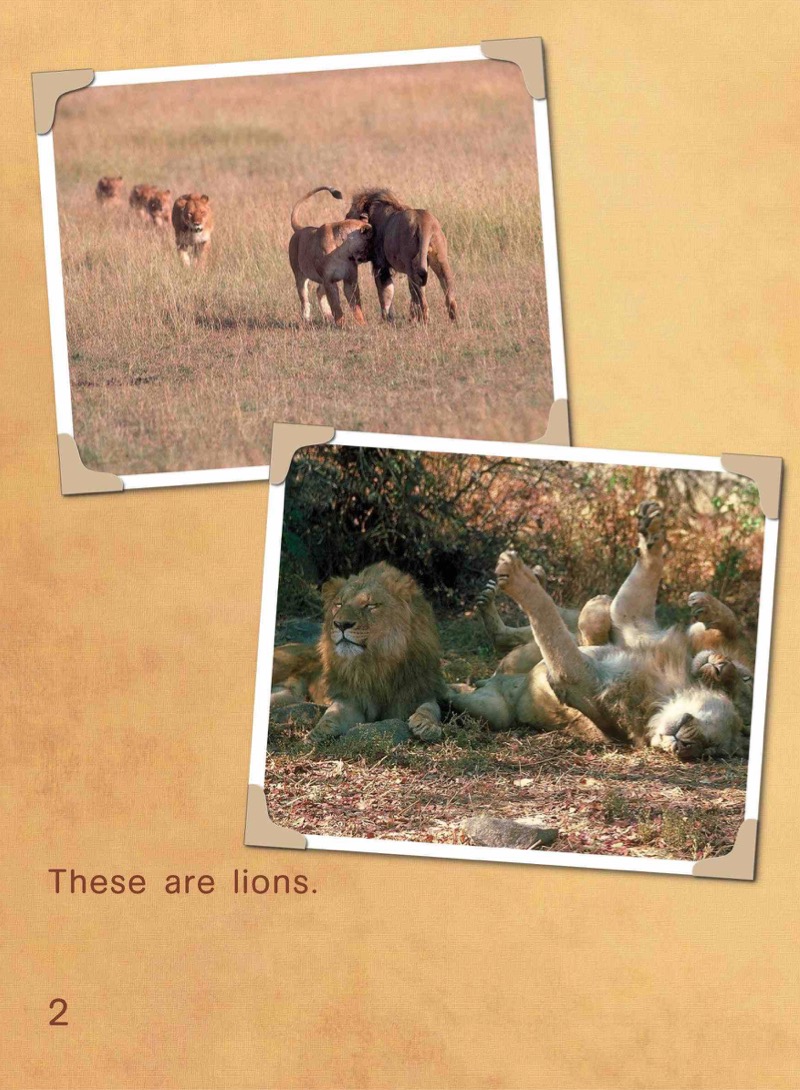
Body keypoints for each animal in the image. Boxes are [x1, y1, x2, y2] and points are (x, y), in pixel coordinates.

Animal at [289, 186, 373, 326]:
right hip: (300, 275)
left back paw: (328, 317)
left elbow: (356, 304)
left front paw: (362, 324)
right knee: (304, 300)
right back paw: (307, 319)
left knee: (318, 291)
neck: (343, 251)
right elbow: (336, 305)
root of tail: (300, 229)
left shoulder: (350, 280)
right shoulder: (329, 281)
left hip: (321, 280)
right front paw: (341, 324)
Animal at [310, 562, 447, 742]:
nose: (341, 624)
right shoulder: (352, 698)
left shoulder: (419, 690)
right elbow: (333, 712)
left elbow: (430, 708)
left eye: (370, 605)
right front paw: (318, 731)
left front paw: (426, 725)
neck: (377, 662)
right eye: (338, 604)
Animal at [346, 188, 456, 322]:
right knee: (447, 292)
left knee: (422, 302)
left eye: (349, 217)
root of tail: (424, 223)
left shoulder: (380, 266)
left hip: (412, 266)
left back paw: (423, 322)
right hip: (440, 260)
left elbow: (385, 294)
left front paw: (386, 320)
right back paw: (453, 320)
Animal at [450, 502, 748, 760]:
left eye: (710, 749)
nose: (685, 747)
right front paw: (652, 531)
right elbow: (640, 581)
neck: (665, 693)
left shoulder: (578, 679)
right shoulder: (631, 621)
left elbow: (546, 621)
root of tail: (488, 680)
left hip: (488, 707)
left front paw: (515, 575)